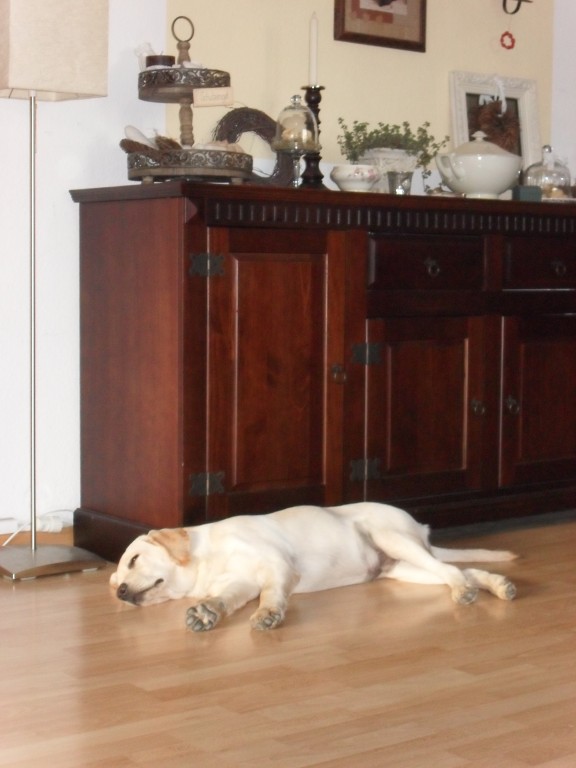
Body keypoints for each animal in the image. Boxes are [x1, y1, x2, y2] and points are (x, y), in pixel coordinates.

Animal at [110, 502, 517, 631]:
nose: (121, 592)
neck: (206, 560)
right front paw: (206, 612)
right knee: (461, 571)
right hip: (404, 567)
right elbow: (224, 600)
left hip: (391, 536)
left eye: (134, 559)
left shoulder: (276, 566)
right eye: (115, 582)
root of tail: (422, 529)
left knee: (453, 573)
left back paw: (468, 591)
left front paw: (269, 615)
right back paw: (499, 585)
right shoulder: (239, 584)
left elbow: (272, 595)